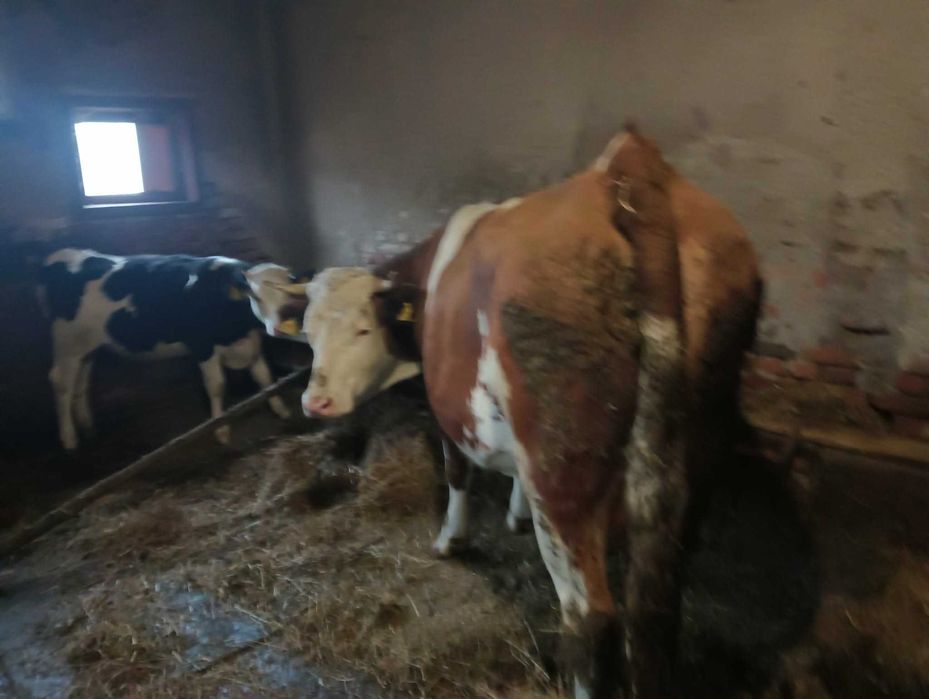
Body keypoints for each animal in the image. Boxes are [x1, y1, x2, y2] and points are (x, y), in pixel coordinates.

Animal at [38, 249, 311, 450]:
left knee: (81, 379)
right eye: (255, 296)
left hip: (87, 346)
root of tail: (61, 255)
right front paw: (221, 428)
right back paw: (69, 438)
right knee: (60, 382)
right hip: (66, 342)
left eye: (289, 293)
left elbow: (264, 376)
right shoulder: (202, 345)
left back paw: (87, 424)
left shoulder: (249, 342)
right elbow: (217, 385)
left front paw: (280, 409)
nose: (279, 327)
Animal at [296, 129, 761, 698]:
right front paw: (516, 513)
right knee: (659, 601)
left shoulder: (447, 405)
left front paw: (451, 539)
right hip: (696, 451)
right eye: (308, 331)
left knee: (591, 618)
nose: (314, 401)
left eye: (362, 329)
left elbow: (456, 472)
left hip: (565, 472)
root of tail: (626, 169)